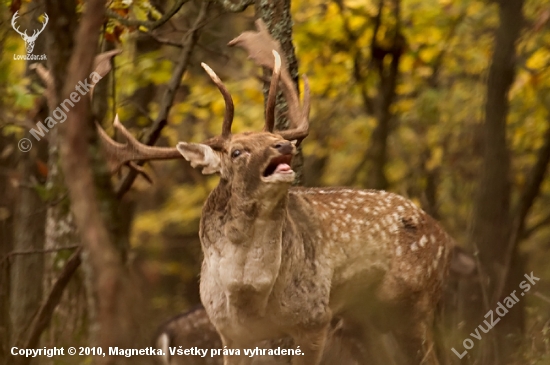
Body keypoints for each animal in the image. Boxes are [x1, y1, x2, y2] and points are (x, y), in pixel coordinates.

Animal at [98, 20, 452, 364]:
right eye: (237, 152)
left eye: (274, 138)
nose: (284, 145)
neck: (250, 295)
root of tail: (440, 231)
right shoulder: (228, 332)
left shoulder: (315, 317)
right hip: (366, 318)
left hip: (414, 303)